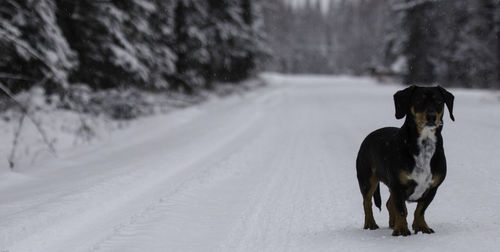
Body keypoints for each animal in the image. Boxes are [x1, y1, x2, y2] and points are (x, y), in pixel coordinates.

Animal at [356, 86, 454, 236]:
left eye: (438, 101)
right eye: (418, 100)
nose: (431, 116)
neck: (424, 145)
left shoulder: (432, 188)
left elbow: (420, 210)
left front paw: (421, 227)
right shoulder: (397, 186)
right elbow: (402, 210)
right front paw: (402, 229)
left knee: (388, 203)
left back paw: (392, 223)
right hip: (367, 179)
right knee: (367, 201)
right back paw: (370, 223)